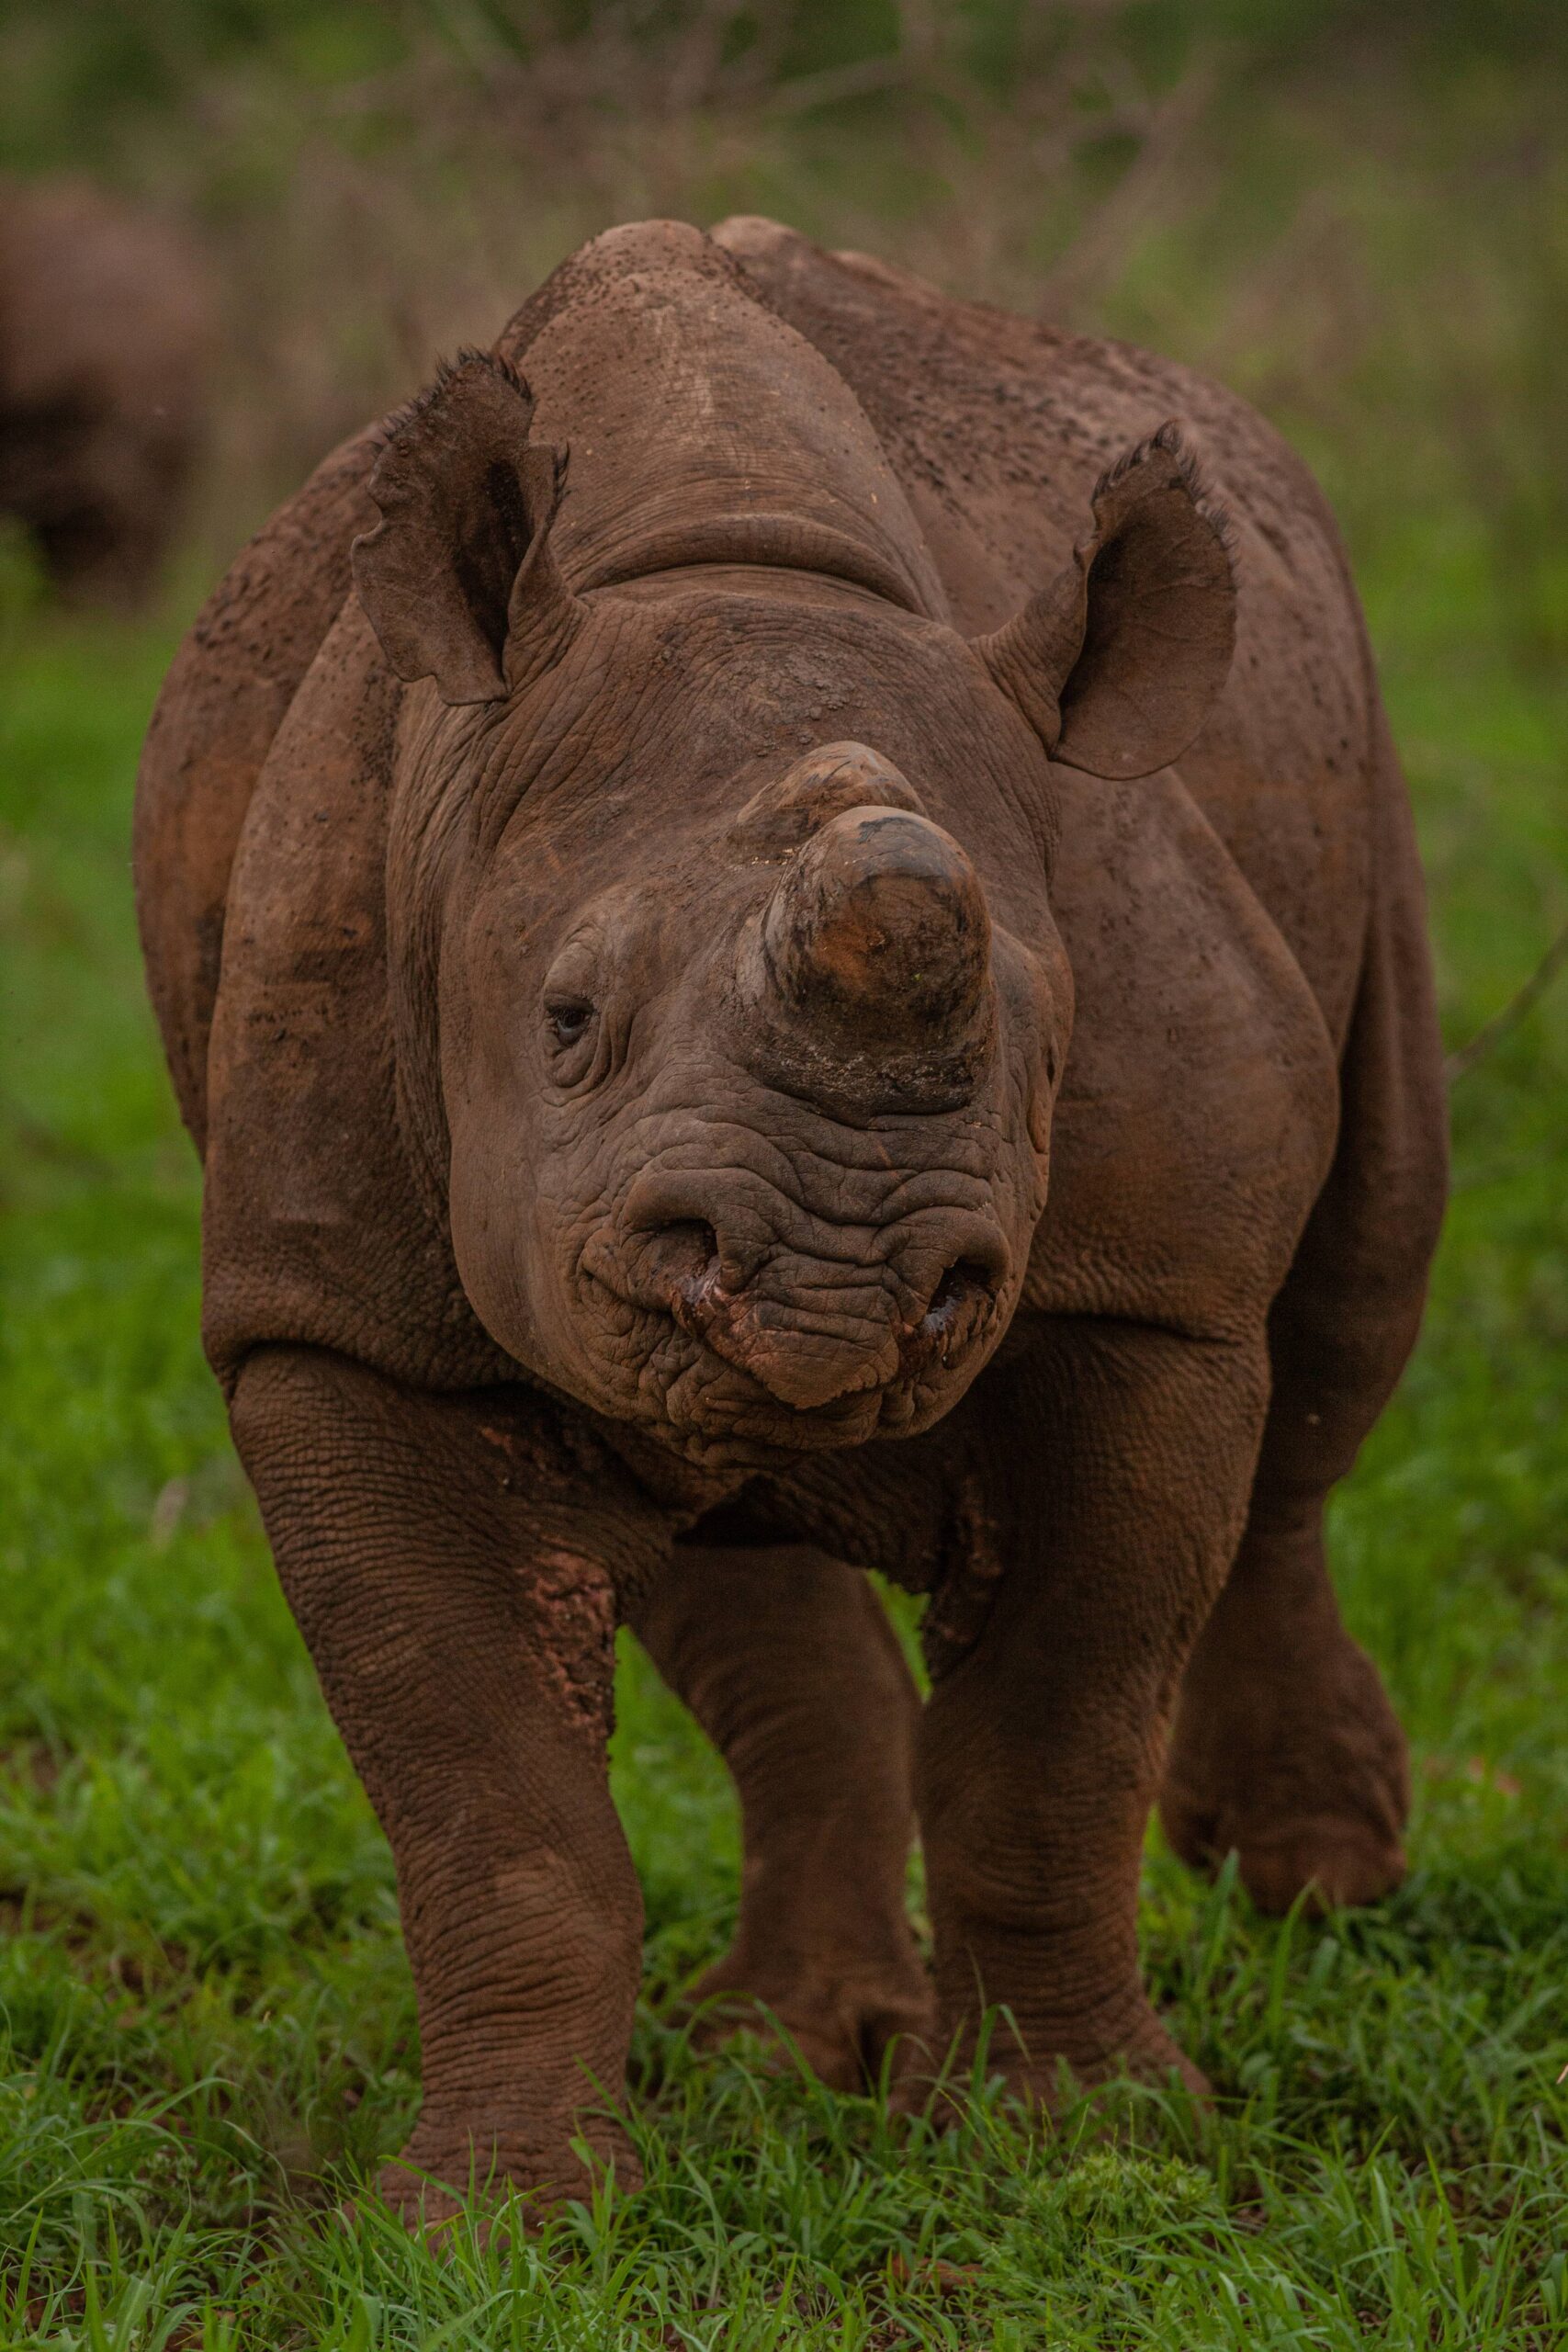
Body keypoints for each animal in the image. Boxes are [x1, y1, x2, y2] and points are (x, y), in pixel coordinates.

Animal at [134, 218, 1446, 2220]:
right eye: (565, 1022)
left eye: (1050, 1044)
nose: (836, 1289)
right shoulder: (339, 1318)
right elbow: (489, 1797)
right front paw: (495, 2216)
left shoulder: (1143, 1293)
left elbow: (1055, 1744)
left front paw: (1088, 2154)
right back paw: (792, 2046)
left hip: (1350, 754)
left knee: (1340, 1320)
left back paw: (1306, 1885)